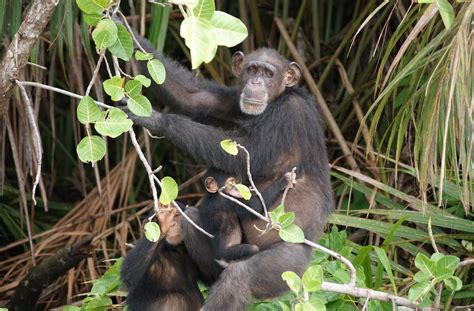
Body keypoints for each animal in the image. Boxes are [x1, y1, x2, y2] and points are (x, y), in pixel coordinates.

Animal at [122, 34, 334, 311]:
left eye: (268, 73)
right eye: (252, 70)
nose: (256, 82)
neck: (276, 101)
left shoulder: (291, 111)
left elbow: (250, 154)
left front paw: (159, 120)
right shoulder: (234, 100)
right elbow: (193, 96)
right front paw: (120, 26)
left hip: (290, 266)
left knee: (239, 277)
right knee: (193, 219)